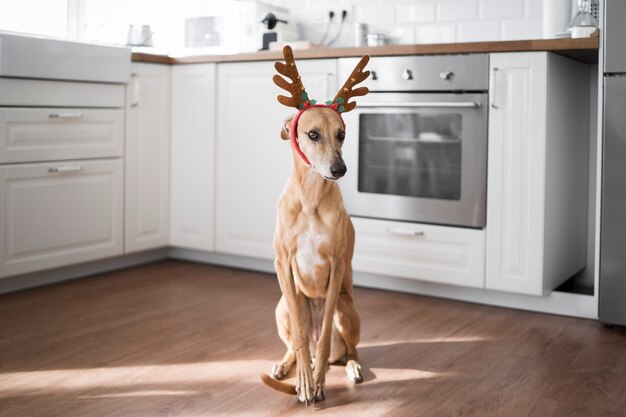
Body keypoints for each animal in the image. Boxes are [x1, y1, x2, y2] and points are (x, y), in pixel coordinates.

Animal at [260, 47, 368, 404]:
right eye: (313, 134)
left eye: (342, 135)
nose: (340, 169)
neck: (310, 200)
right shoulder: (282, 263)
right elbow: (302, 335)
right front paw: (306, 381)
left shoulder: (336, 264)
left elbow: (318, 342)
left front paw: (317, 381)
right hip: (282, 306)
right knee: (296, 341)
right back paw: (285, 365)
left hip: (346, 311)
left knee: (350, 348)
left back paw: (352, 367)